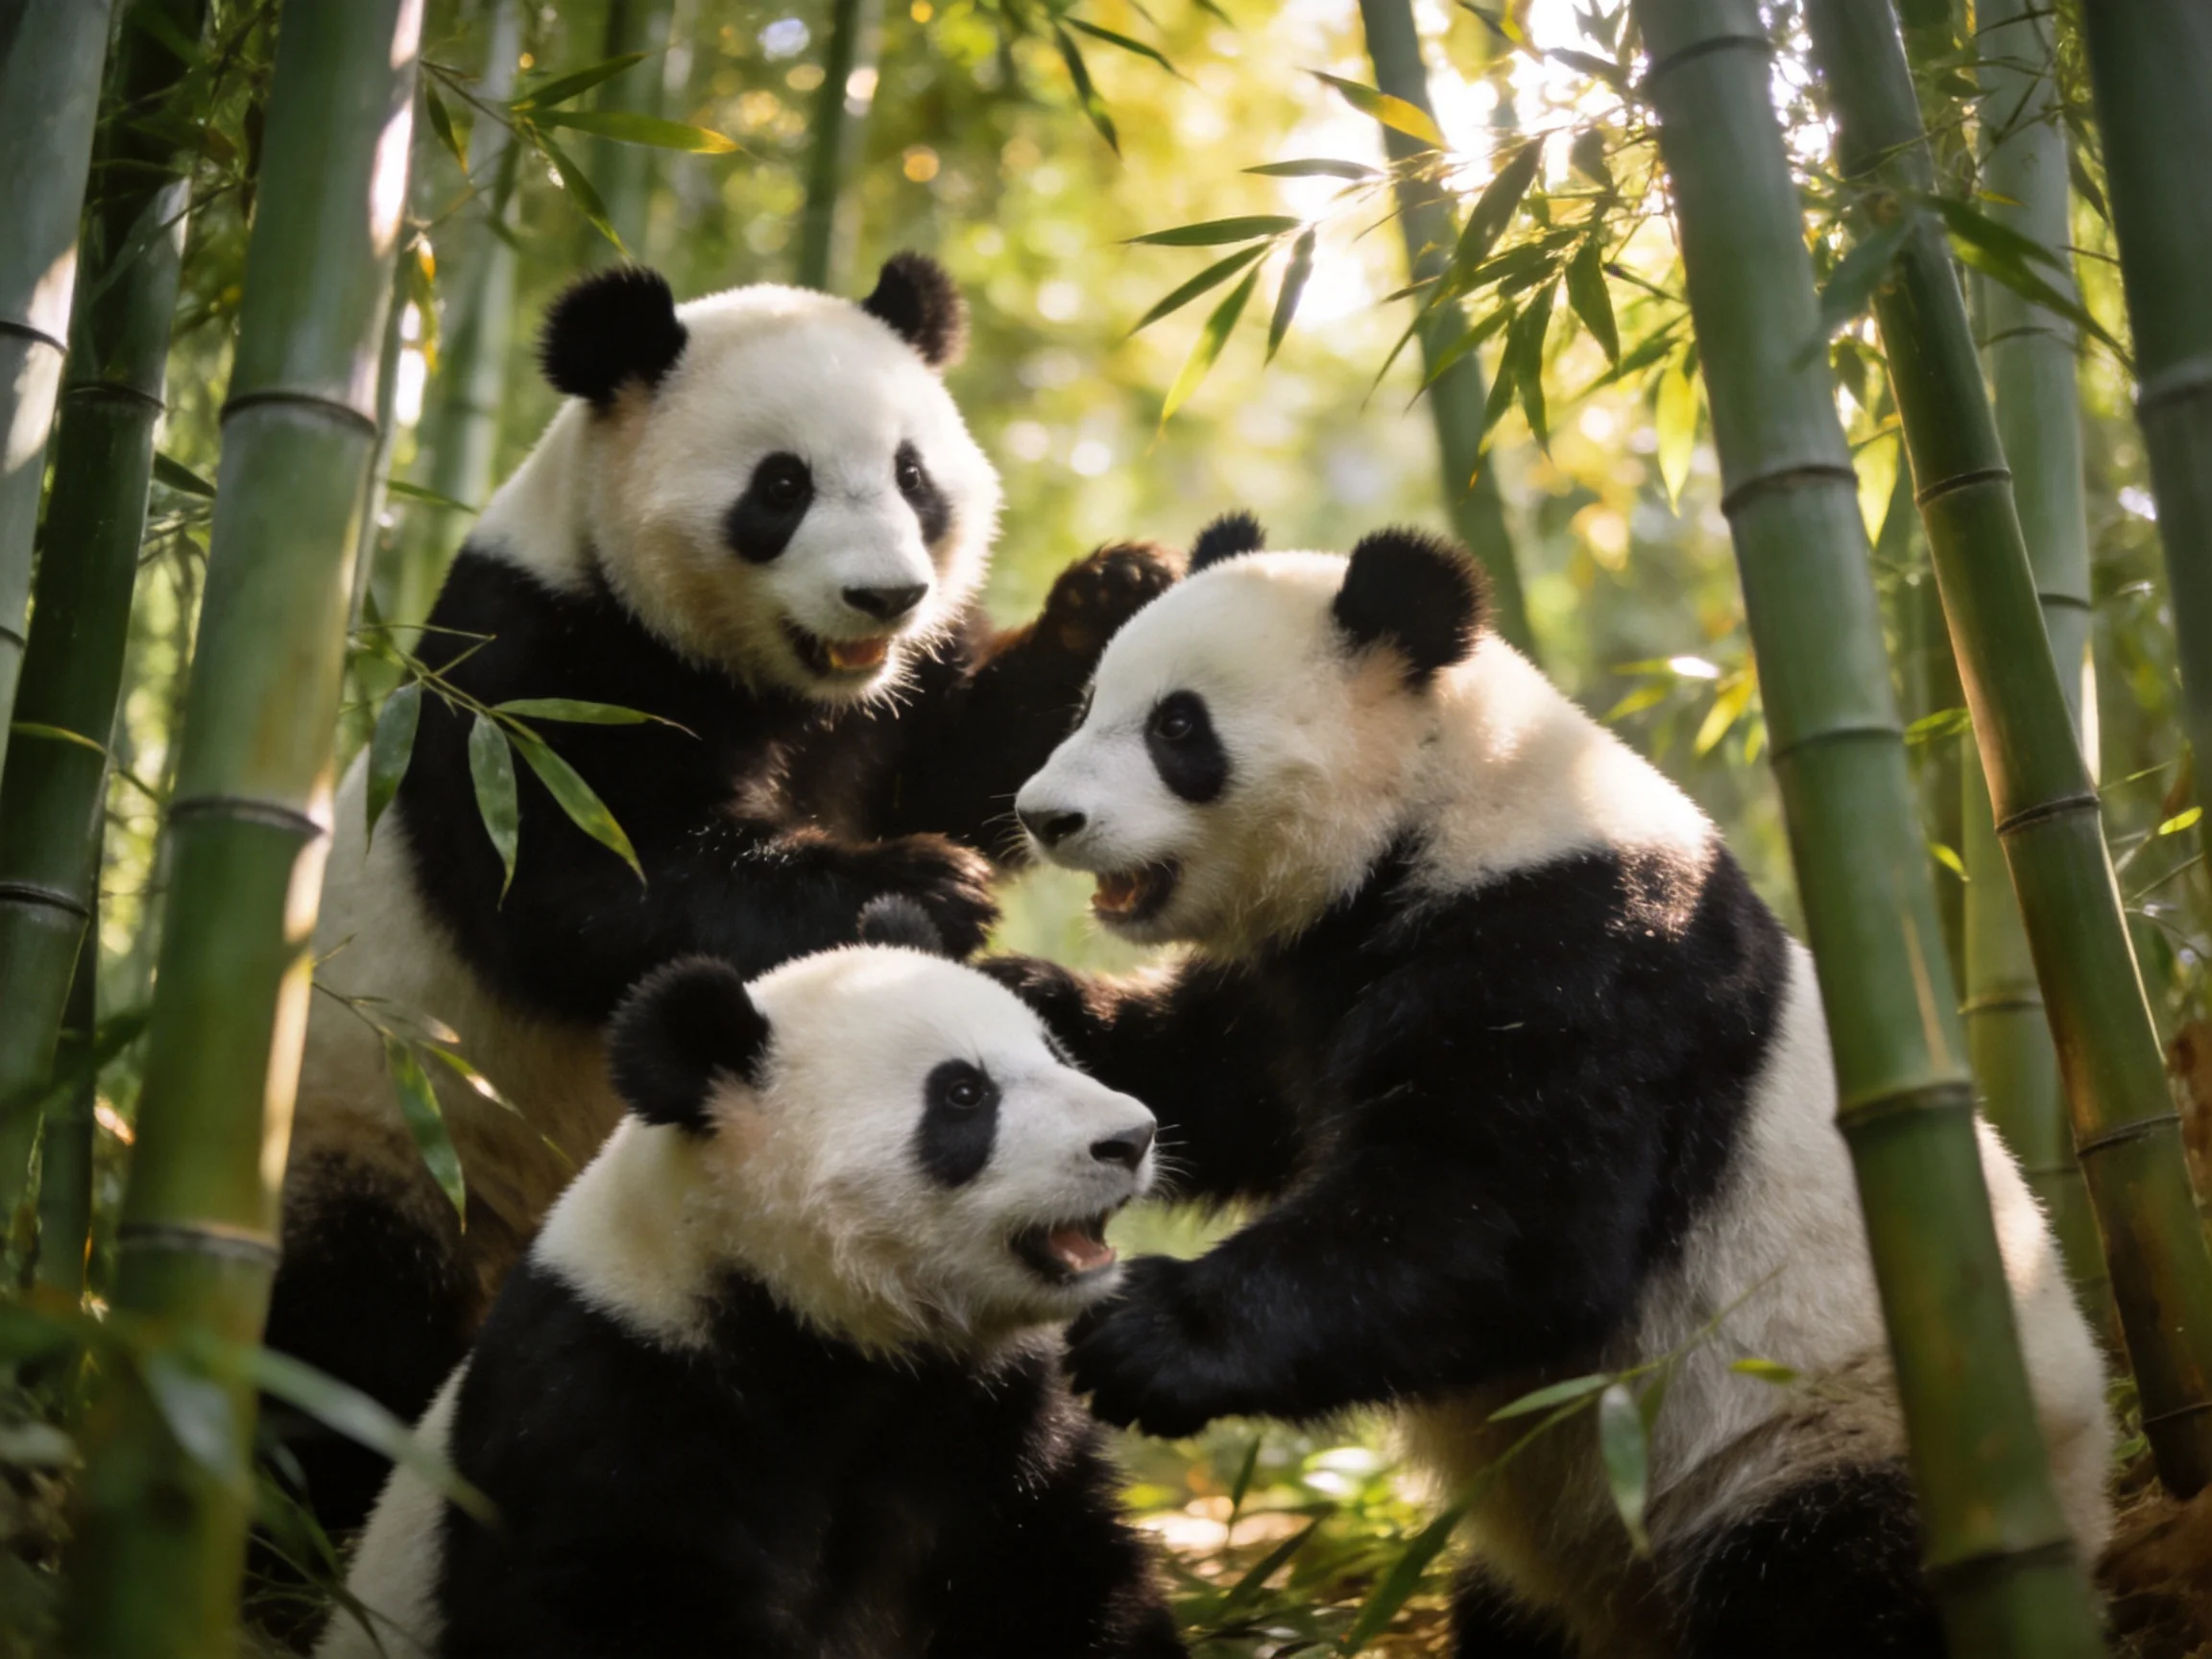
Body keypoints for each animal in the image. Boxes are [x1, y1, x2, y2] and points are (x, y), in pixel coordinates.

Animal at [274, 252, 1175, 1528]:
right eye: (780, 486)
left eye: (913, 475)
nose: (884, 596)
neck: (771, 675)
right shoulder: (535, 675)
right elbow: (582, 886)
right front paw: (921, 886)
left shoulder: (893, 700)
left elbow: (975, 763)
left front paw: (1117, 589)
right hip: (388, 1131)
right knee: (351, 1339)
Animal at [314, 902, 1184, 1659]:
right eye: (964, 1094)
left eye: (1057, 1052)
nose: (1130, 1137)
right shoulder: (615, 1403)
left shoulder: (995, 1428)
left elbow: (1065, 1583)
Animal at [991, 514, 2112, 1658]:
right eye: (1087, 702)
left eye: (1179, 727)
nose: (1046, 816)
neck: (1445, 798)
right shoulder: (1303, 974)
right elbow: (1212, 1088)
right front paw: (1013, 997)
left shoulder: (1582, 950)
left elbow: (1505, 1215)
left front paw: (1148, 1336)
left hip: (1822, 1440)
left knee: (1824, 1593)